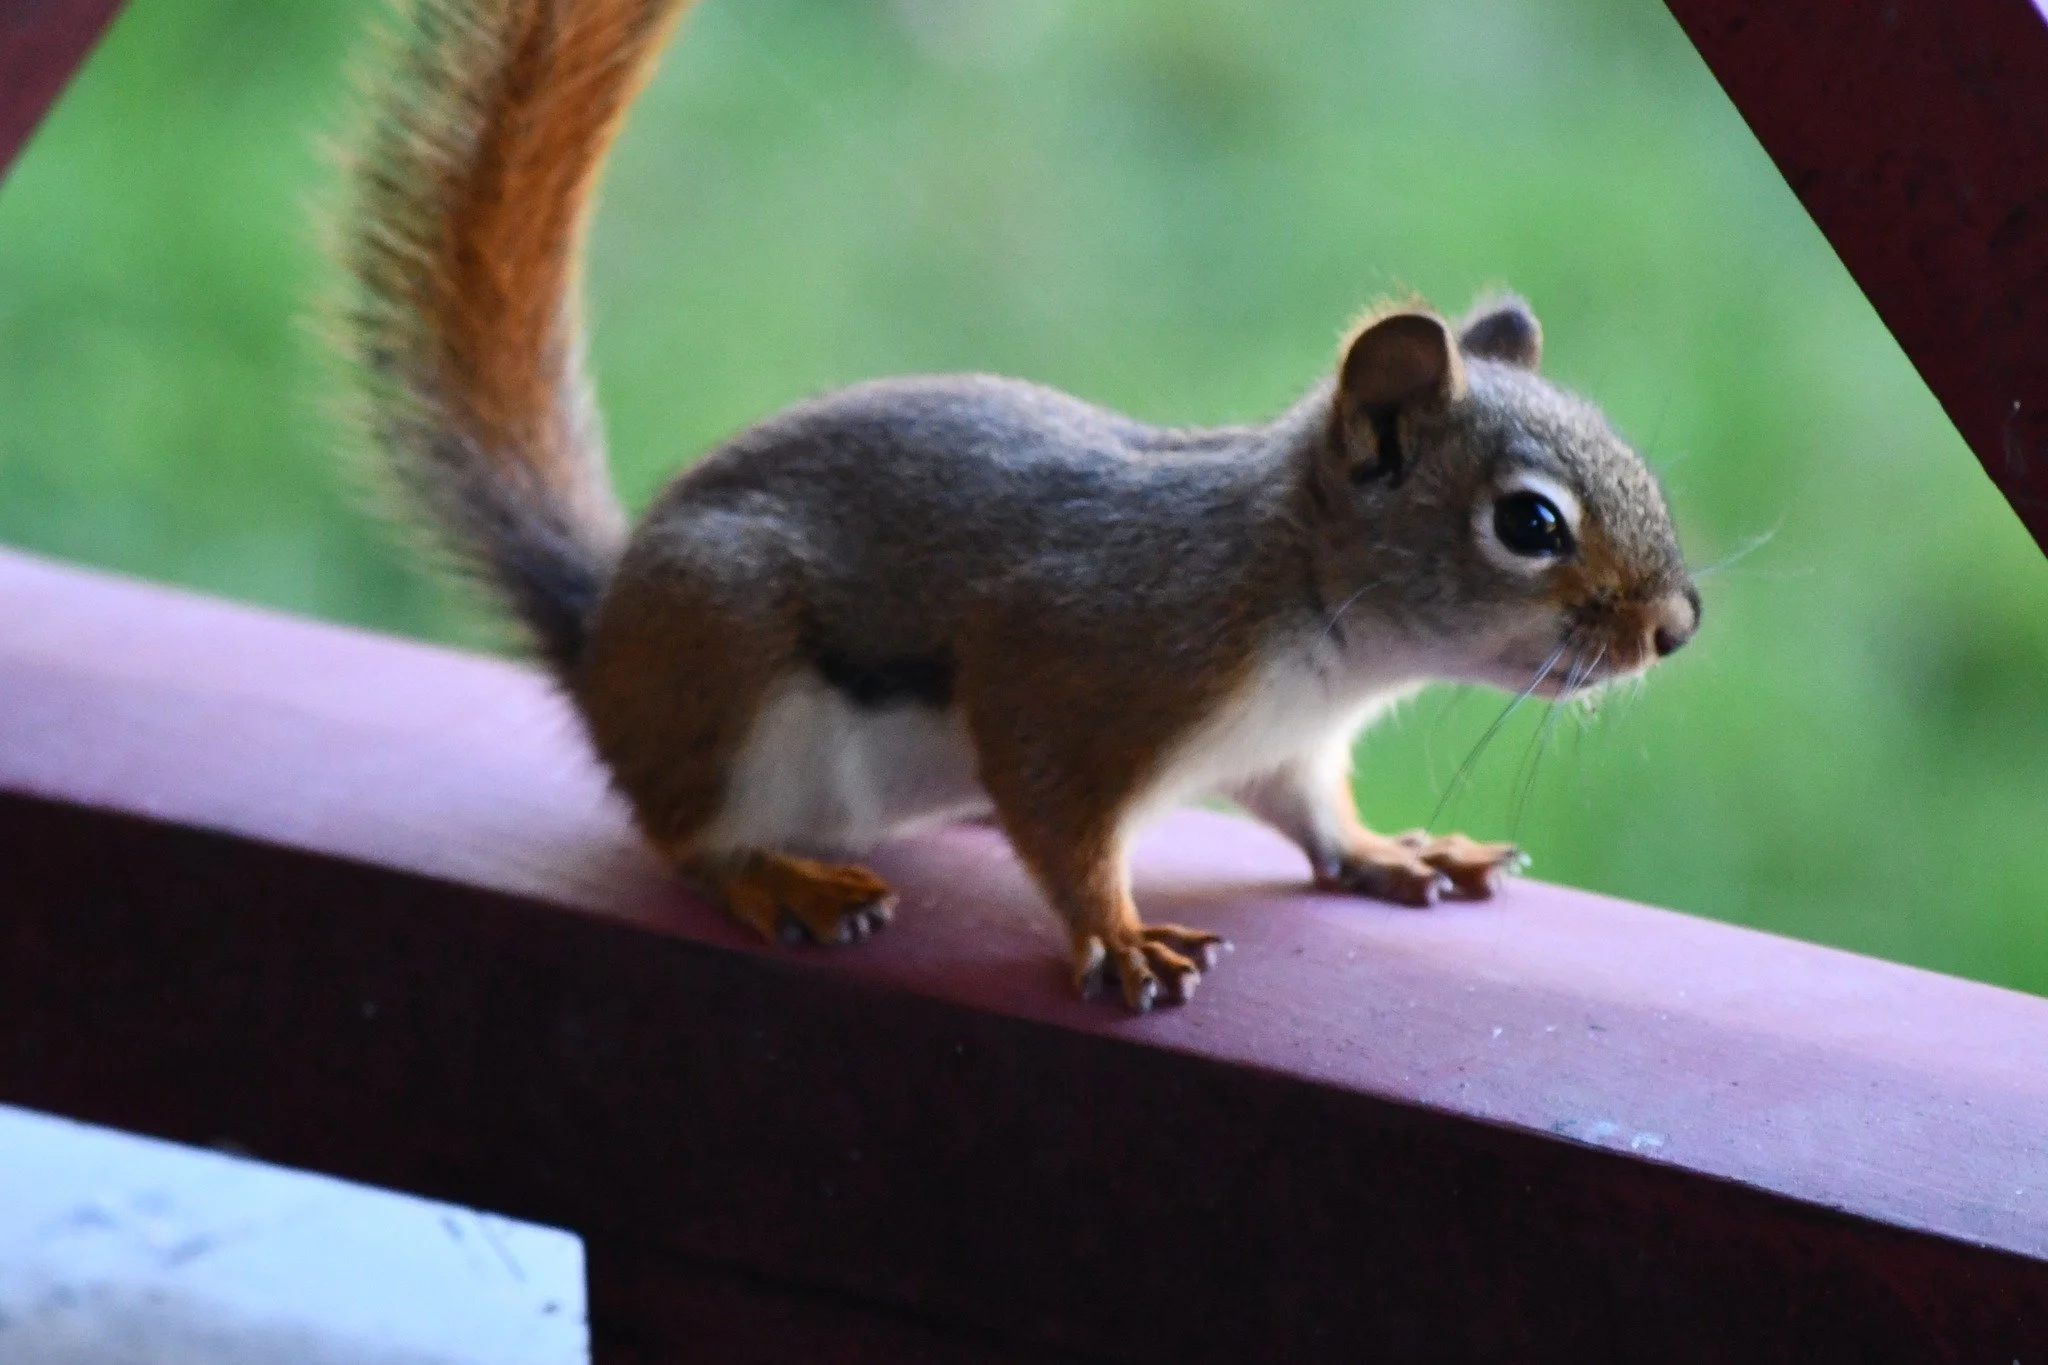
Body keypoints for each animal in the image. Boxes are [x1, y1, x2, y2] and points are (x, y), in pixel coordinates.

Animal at [334, 0, 1698, 1012]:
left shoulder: (1285, 748)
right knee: (683, 836)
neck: (1316, 621)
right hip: (725, 670)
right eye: (1528, 525)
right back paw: (782, 881)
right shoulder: (1083, 661)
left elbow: (1313, 820)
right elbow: (1060, 817)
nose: (1674, 626)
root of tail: (604, 645)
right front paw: (1119, 939)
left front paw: (1386, 853)